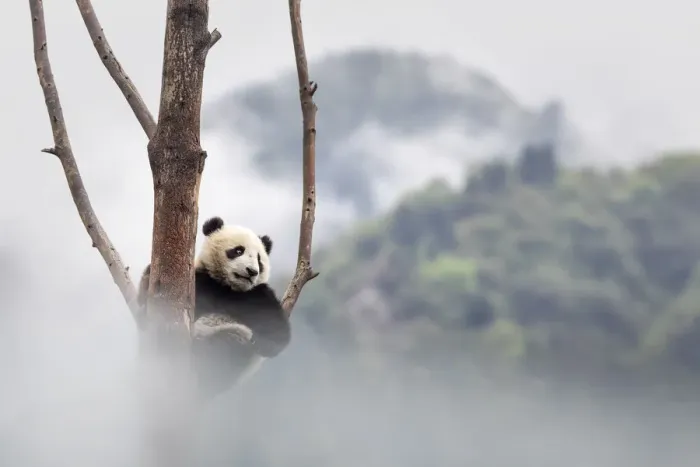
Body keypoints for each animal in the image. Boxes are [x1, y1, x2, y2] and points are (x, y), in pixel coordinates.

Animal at [137, 216, 291, 400]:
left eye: (259, 259)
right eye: (238, 251)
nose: (252, 271)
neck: (228, 288)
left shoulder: (257, 296)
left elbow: (278, 332)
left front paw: (264, 342)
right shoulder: (200, 281)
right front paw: (147, 281)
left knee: (226, 346)